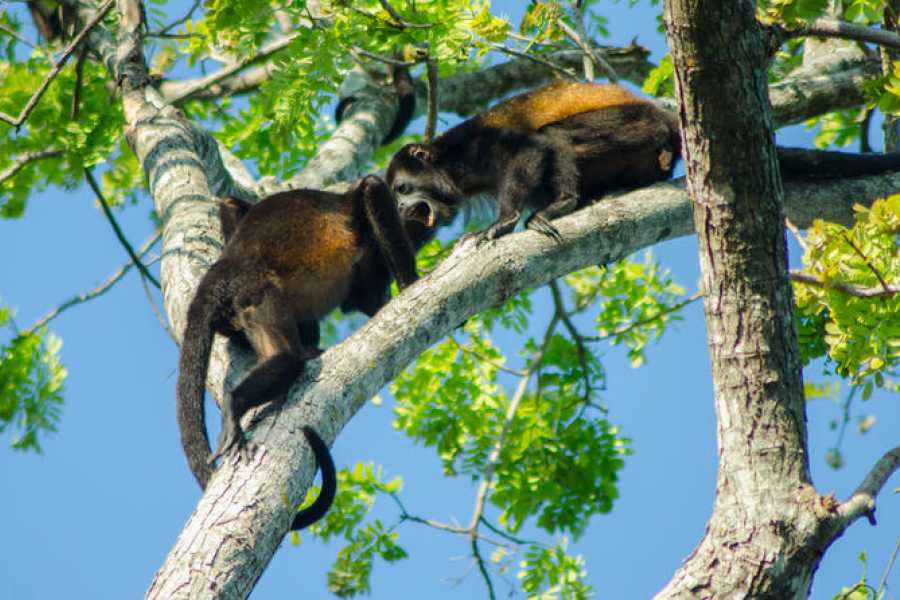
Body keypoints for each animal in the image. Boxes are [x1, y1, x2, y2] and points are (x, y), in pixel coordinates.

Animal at [178, 176, 430, 528]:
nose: (422, 210)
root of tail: (223, 271)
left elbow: (229, 203)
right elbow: (371, 187)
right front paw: (409, 282)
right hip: (257, 292)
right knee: (287, 358)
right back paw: (235, 403)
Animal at [388, 80, 900, 244]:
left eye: (401, 189)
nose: (400, 210)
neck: (448, 163)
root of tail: (667, 117)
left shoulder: (480, 145)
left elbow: (530, 149)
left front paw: (503, 221)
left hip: (631, 124)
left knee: (552, 137)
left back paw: (563, 203)